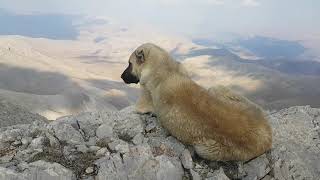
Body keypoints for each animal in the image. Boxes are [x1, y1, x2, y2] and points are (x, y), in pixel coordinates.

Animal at [121, 43, 272, 160]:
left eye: (129, 63)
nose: (121, 77)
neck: (165, 68)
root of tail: (267, 137)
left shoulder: (141, 102)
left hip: (203, 148)